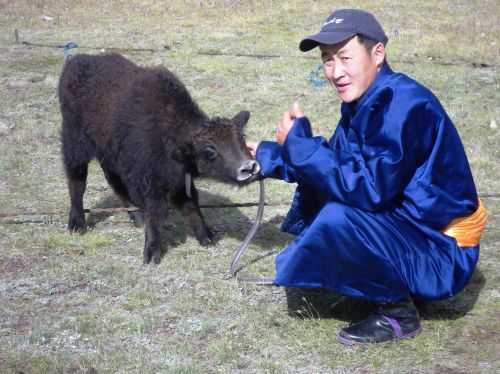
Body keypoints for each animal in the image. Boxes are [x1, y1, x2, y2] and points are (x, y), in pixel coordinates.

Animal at [58, 54, 260, 264]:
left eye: (242, 137)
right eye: (210, 149)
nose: (249, 167)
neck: (172, 134)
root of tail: (76, 61)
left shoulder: (179, 181)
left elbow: (191, 205)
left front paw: (207, 237)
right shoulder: (152, 183)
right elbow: (156, 212)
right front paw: (151, 253)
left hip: (109, 154)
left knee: (114, 182)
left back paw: (137, 219)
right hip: (75, 144)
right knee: (77, 180)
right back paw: (77, 224)